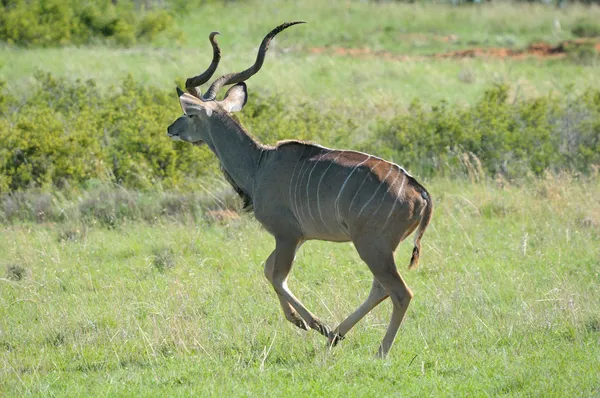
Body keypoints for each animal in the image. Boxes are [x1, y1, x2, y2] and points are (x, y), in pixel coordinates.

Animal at [166, 21, 434, 358]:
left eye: (190, 114)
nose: (171, 129)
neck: (260, 163)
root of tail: (418, 191)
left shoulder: (287, 235)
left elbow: (277, 277)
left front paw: (314, 324)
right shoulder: (298, 237)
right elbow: (268, 270)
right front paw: (307, 323)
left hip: (372, 245)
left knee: (400, 292)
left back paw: (377, 350)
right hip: (382, 248)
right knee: (380, 288)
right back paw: (338, 335)